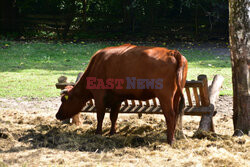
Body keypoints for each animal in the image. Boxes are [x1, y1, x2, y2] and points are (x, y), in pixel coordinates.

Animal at [55, 44, 188, 145]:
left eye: (64, 100)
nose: (57, 115)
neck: (97, 64)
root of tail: (172, 52)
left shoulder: (99, 96)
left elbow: (100, 115)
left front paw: (98, 132)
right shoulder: (117, 98)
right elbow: (113, 116)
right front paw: (112, 132)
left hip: (165, 96)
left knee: (170, 115)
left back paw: (170, 140)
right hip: (176, 95)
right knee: (176, 114)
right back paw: (173, 137)